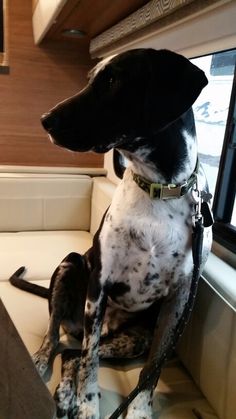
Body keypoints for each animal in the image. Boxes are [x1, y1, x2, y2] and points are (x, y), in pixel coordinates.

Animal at [10, 50, 212, 419]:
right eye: (93, 78)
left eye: (114, 80)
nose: (45, 119)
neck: (159, 191)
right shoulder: (99, 284)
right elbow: (89, 362)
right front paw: (89, 404)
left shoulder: (178, 302)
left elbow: (151, 371)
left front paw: (139, 410)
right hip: (70, 267)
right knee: (60, 341)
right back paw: (46, 369)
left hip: (132, 339)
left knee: (74, 353)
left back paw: (65, 393)